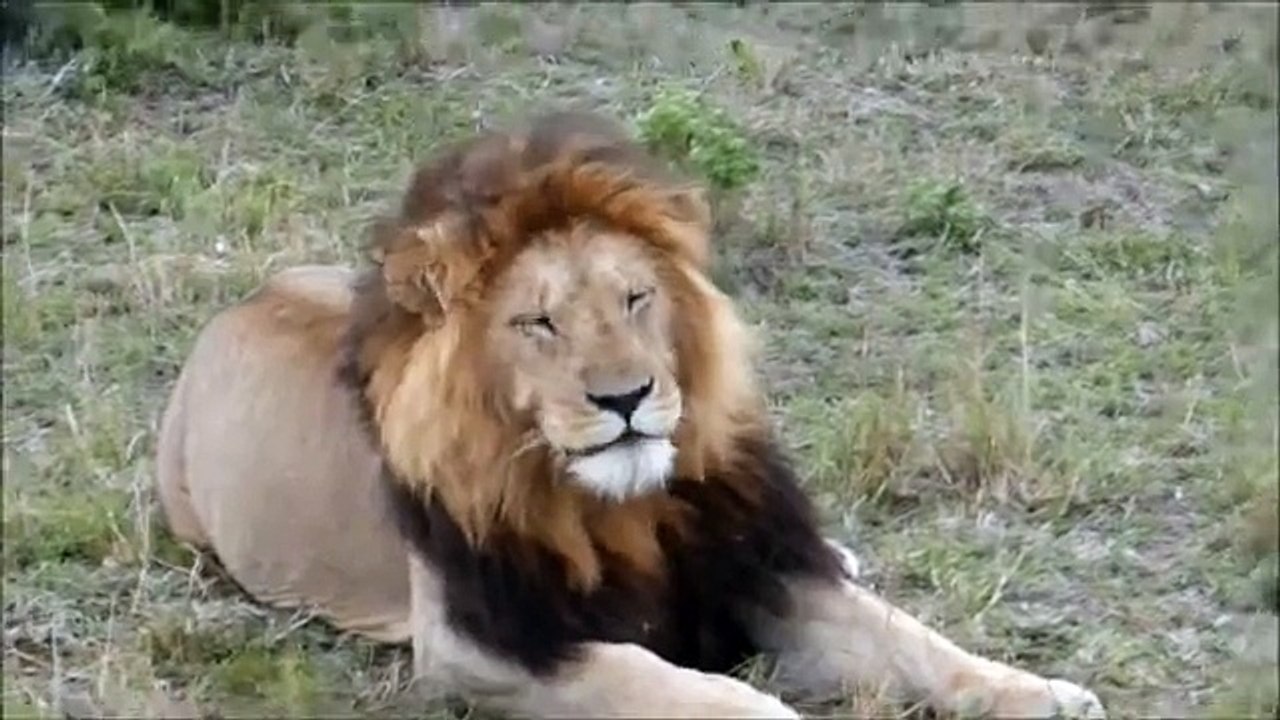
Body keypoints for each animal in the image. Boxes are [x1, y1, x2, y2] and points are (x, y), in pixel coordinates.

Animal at [155, 111, 1107, 719]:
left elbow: (918, 644)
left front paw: (1045, 694)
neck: (621, 504)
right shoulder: (482, 643)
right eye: (538, 323)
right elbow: (688, 690)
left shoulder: (757, 569)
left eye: (636, 298)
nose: (625, 397)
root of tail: (243, 300)